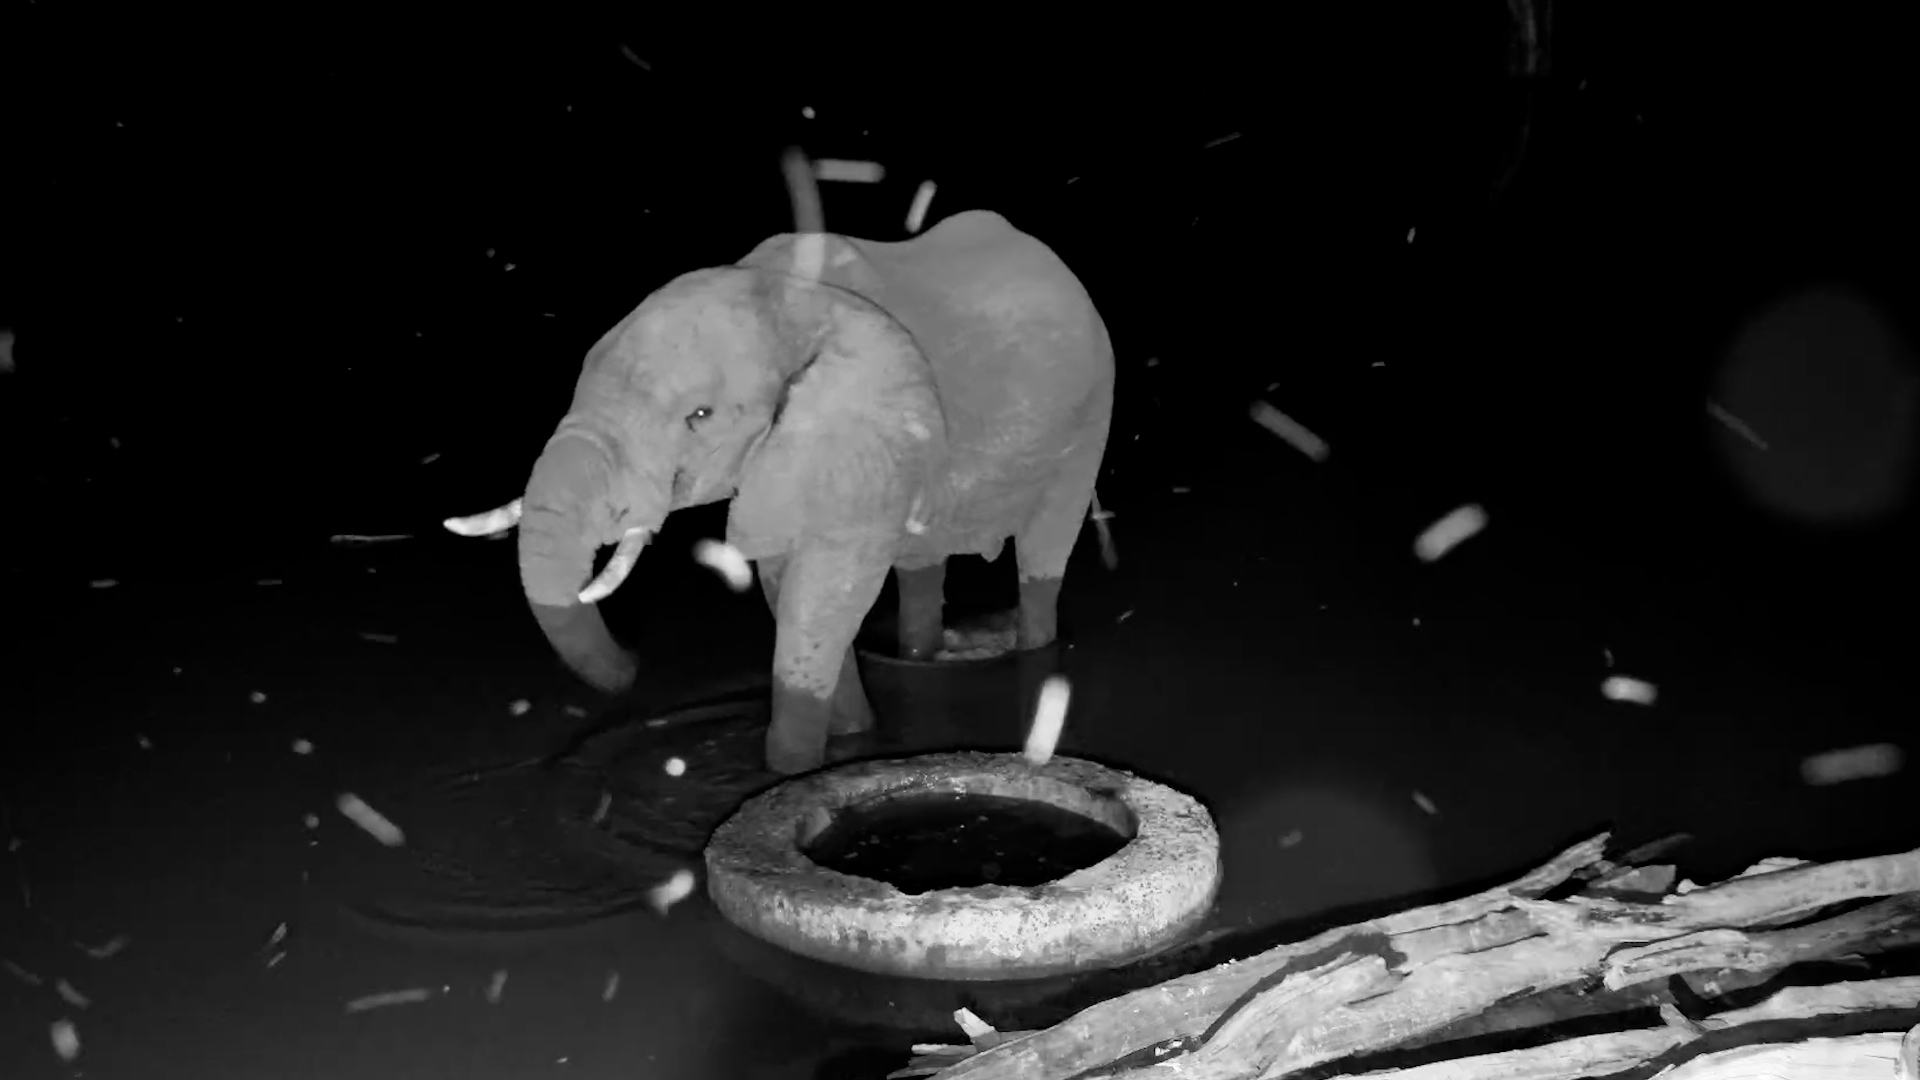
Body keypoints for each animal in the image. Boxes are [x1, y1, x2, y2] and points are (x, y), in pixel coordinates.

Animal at [512, 209, 1114, 774]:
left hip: (1090, 416)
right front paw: (849, 738)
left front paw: (790, 767)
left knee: (1045, 549)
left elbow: (823, 590)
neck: (785, 301)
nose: (635, 666)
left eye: (699, 416)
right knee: (922, 565)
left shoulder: (864, 441)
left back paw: (1032, 642)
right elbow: (788, 585)